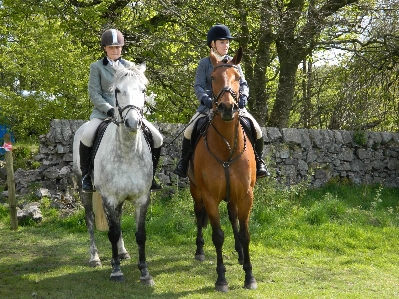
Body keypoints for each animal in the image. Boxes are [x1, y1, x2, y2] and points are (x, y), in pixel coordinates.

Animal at [72, 62, 155, 286]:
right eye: (117, 91)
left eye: (143, 90)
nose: (133, 123)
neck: (127, 151)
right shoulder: (109, 197)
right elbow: (113, 231)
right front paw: (116, 271)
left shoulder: (142, 198)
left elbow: (140, 234)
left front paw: (145, 272)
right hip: (85, 191)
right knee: (90, 220)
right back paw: (95, 258)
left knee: (116, 218)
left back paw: (123, 252)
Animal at [188, 47, 258, 292]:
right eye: (212, 78)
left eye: (238, 77)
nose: (228, 108)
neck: (227, 147)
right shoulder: (209, 196)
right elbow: (217, 235)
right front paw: (221, 279)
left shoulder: (246, 195)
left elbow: (245, 233)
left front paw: (249, 275)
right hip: (196, 191)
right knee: (199, 215)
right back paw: (199, 251)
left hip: (234, 196)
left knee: (233, 216)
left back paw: (240, 254)